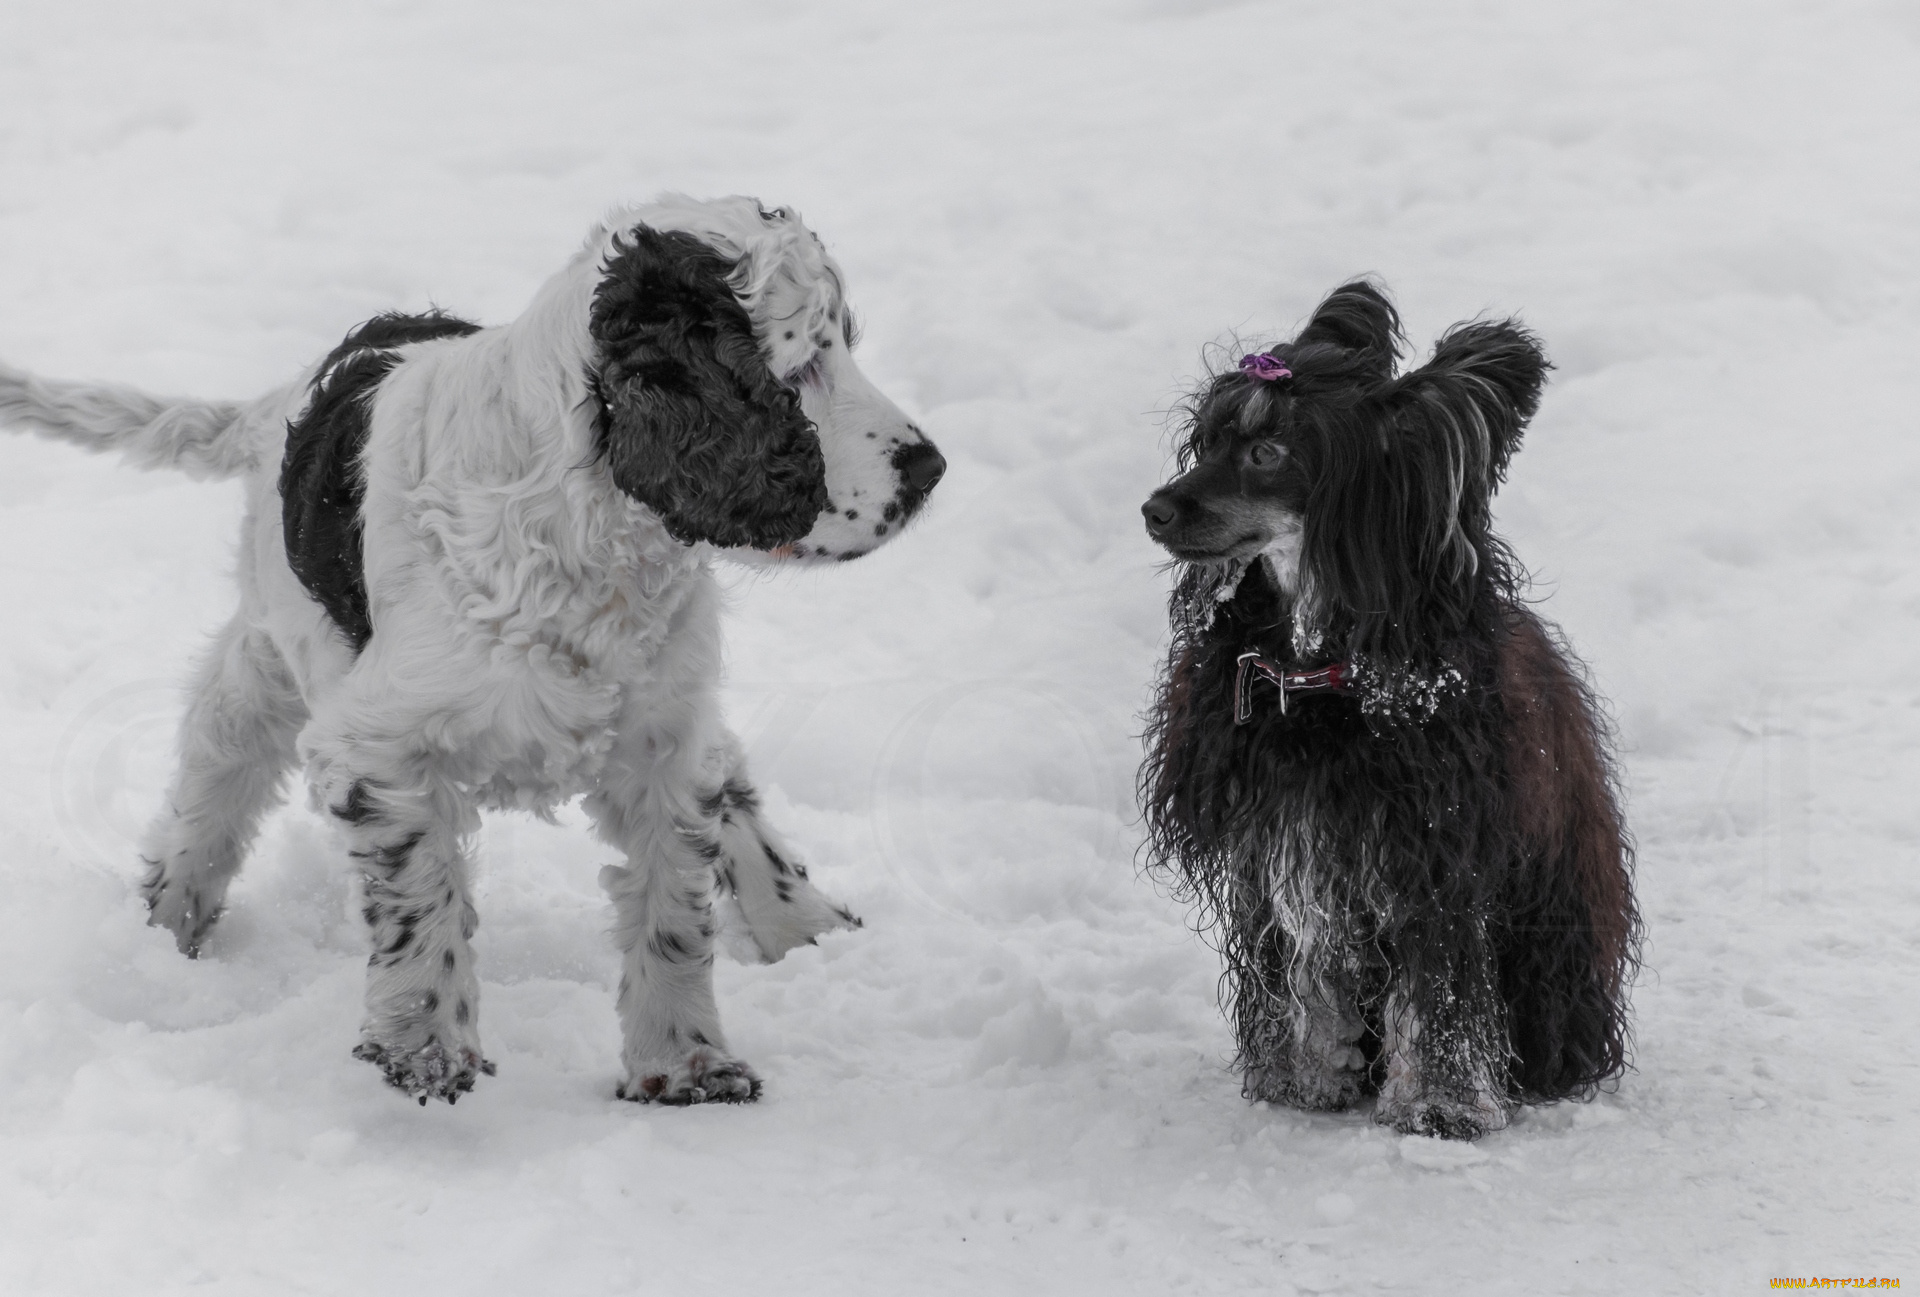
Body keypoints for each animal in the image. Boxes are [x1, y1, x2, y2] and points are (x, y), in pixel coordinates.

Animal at [0, 194, 944, 1105]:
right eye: (802, 362)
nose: (931, 468)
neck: (587, 538)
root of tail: (277, 405)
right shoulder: (376, 745)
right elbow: (424, 893)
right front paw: (423, 1046)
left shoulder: (661, 739)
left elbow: (673, 908)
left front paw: (686, 1065)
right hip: (267, 656)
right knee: (214, 785)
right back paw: (167, 925)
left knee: (733, 780)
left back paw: (805, 920)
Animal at [1136, 282, 1635, 1135]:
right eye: (1207, 440)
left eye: (1269, 452)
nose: (1155, 509)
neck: (1322, 674)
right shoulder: (1284, 845)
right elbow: (1299, 978)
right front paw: (1303, 1078)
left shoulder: (1435, 853)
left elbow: (1439, 991)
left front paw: (1440, 1103)